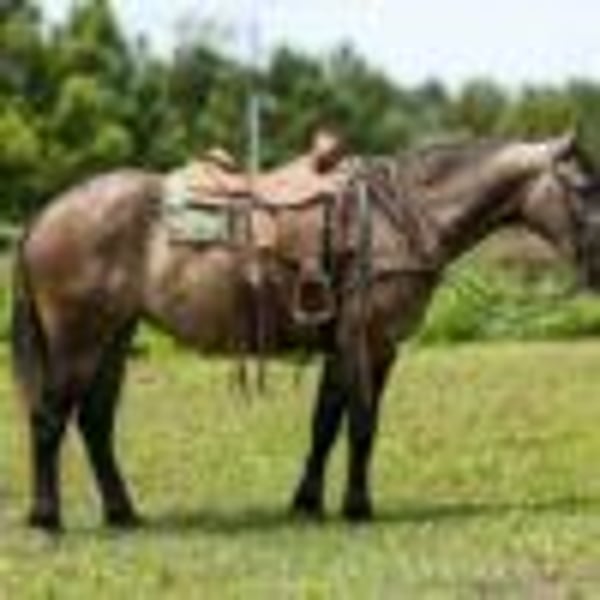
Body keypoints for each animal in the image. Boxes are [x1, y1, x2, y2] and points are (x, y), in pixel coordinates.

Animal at [10, 132, 600, 532]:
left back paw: (122, 512)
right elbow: (361, 426)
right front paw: (357, 507)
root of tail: (46, 215)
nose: (597, 266)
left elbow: (326, 425)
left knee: (94, 423)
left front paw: (308, 503)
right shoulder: (370, 343)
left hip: (112, 338)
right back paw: (47, 517)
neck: (402, 216)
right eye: (584, 187)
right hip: (78, 340)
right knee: (49, 418)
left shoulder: (347, 347)